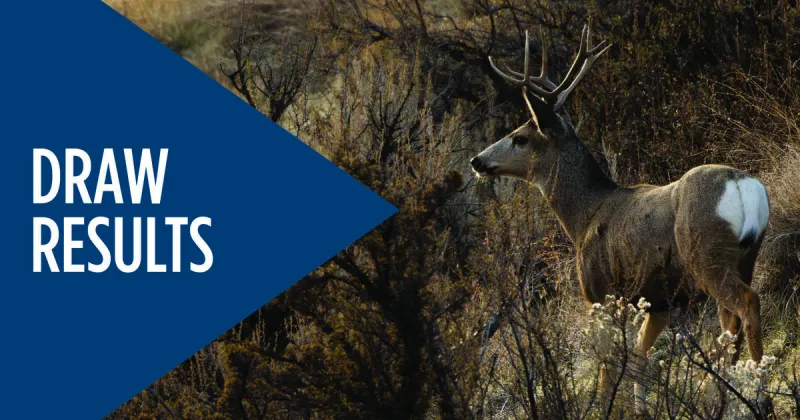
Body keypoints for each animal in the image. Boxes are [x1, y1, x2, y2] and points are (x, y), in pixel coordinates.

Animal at [471, 22, 770, 414]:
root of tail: (743, 185)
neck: (583, 214)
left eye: (519, 137)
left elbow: (607, 367)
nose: (477, 160)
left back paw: (756, 394)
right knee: (729, 325)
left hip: (706, 253)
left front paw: (605, 407)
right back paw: (722, 393)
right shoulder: (659, 301)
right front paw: (644, 409)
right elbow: (640, 357)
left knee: (748, 304)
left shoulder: (600, 290)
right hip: (746, 256)